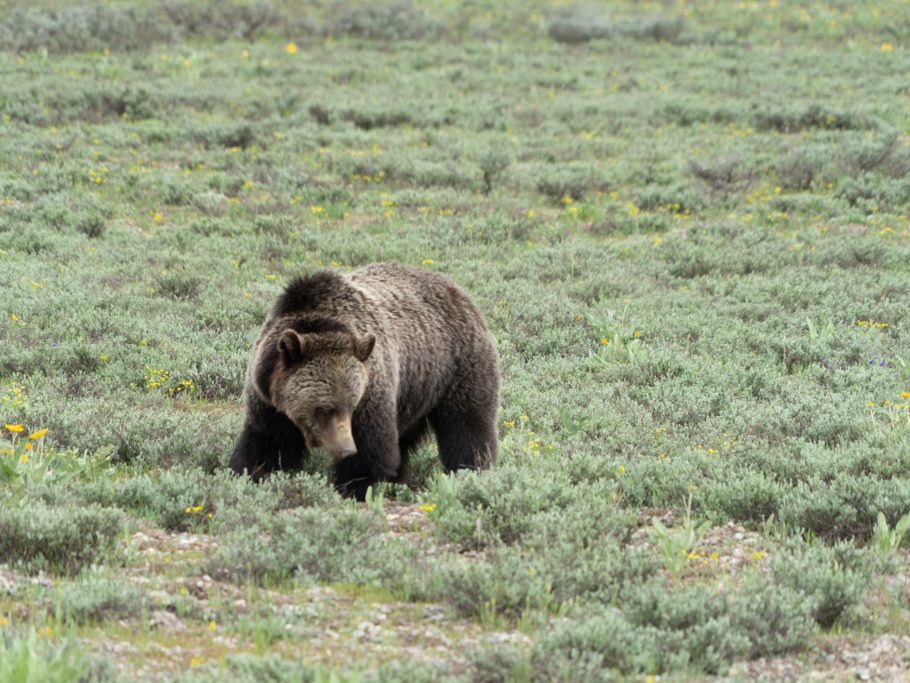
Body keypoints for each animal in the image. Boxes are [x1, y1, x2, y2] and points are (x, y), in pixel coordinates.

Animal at [228, 260, 498, 500]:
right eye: (326, 408)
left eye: (351, 405)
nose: (346, 449)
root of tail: (457, 289)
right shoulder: (269, 399)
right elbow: (267, 443)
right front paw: (252, 473)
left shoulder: (372, 390)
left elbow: (373, 449)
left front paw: (352, 485)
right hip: (414, 391)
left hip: (458, 368)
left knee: (467, 426)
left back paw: (472, 471)